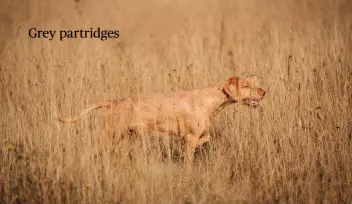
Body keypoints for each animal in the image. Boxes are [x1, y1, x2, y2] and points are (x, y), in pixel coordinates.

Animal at [56, 76, 266, 169]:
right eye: (246, 85)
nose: (264, 91)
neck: (212, 100)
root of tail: (113, 102)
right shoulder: (189, 138)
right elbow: (189, 159)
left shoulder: (197, 134)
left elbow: (205, 137)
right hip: (108, 136)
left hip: (122, 138)